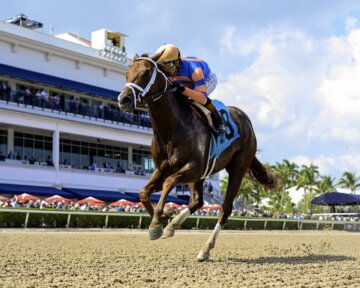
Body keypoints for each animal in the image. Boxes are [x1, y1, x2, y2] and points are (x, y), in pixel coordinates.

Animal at [116, 53, 278, 260]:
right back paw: (173, 226)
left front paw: (157, 223)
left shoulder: (193, 167)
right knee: (197, 201)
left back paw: (205, 249)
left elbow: (169, 182)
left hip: (237, 168)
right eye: (127, 73)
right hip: (202, 175)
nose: (124, 99)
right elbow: (144, 192)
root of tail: (247, 122)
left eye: (145, 72)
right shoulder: (163, 168)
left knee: (225, 208)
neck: (172, 127)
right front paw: (163, 218)